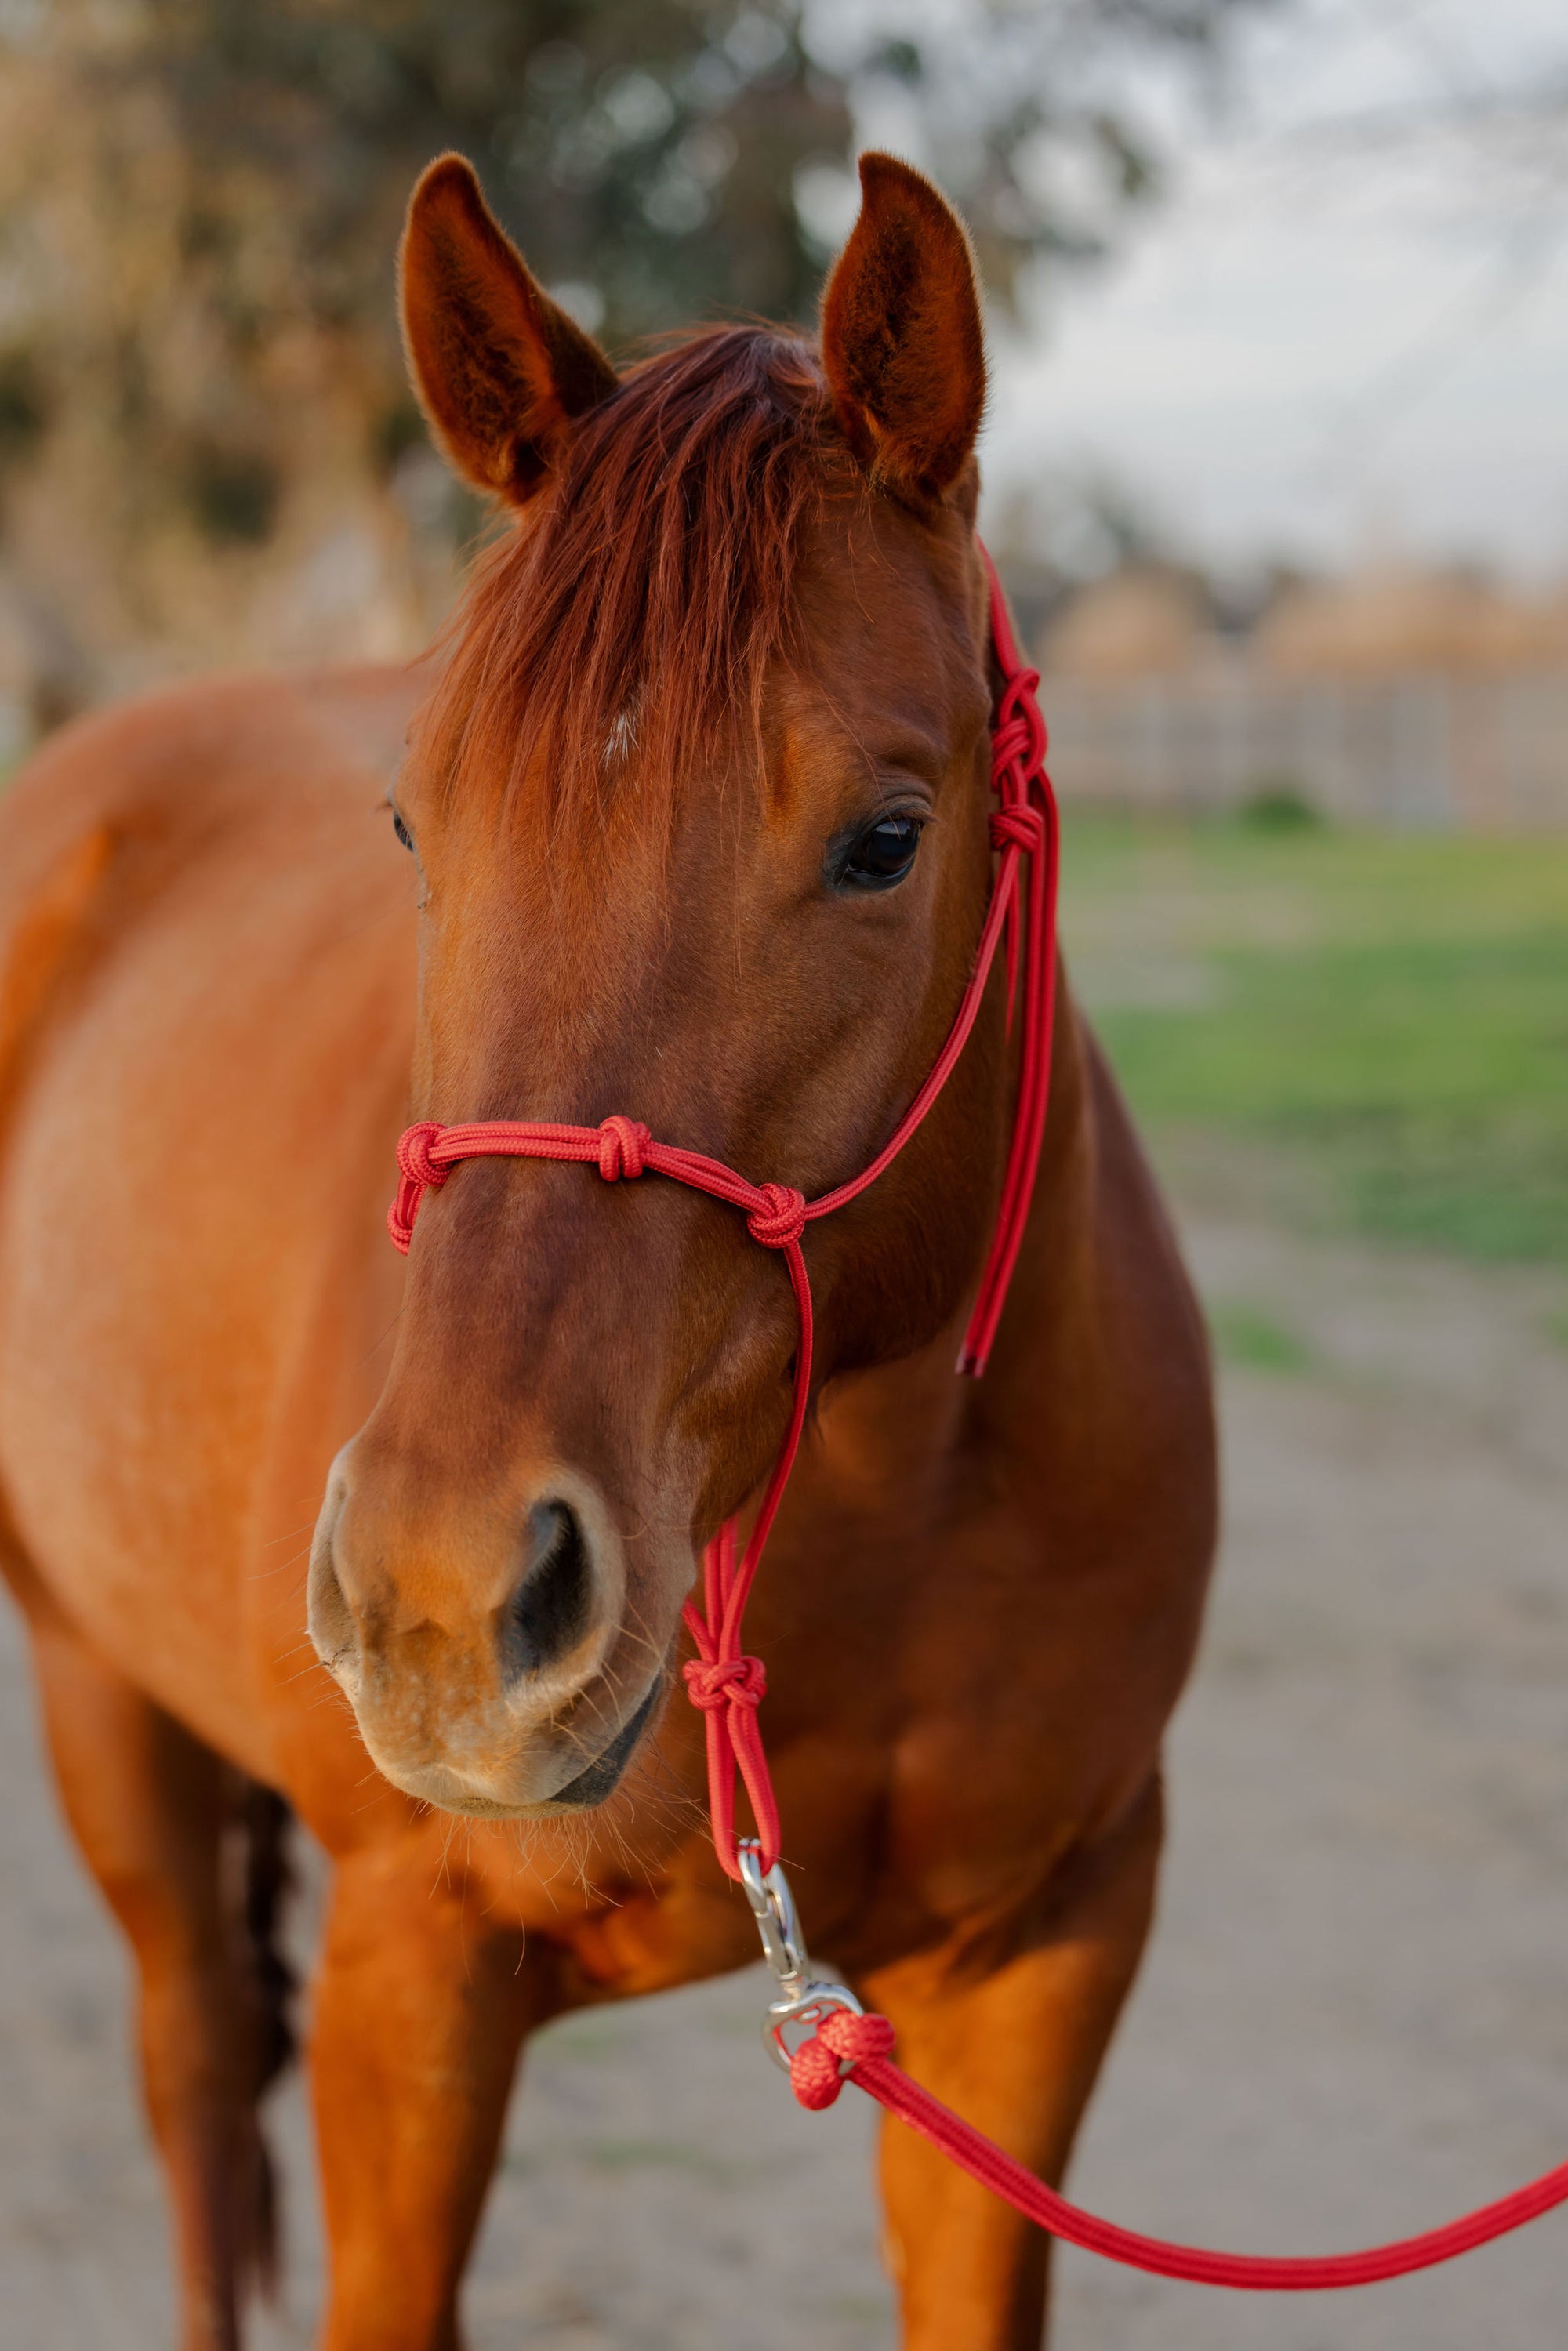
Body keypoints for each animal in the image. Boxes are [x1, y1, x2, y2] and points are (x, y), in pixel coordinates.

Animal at [0, 156, 1213, 2342]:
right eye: (417, 823)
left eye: (885, 839)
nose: (441, 1594)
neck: (878, 1513)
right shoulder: (410, 1995)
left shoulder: (1043, 1973)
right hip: (97, 1706)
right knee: (195, 2081)